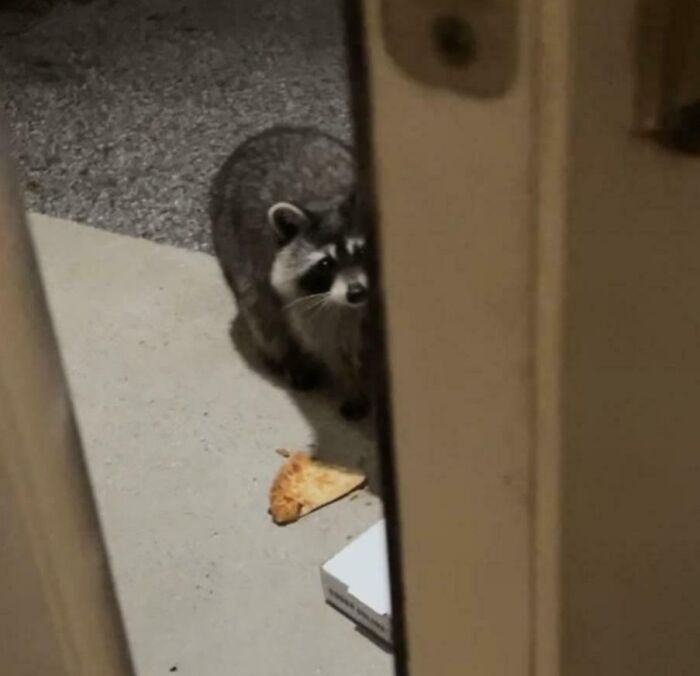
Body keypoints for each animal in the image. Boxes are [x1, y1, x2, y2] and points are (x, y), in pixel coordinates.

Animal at [210, 126, 370, 419]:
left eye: (363, 251)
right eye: (325, 265)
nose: (356, 292)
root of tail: (266, 133)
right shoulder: (308, 302)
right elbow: (332, 346)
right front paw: (353, 385)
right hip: (236, 258)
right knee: (264, 318)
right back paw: (290, 360)